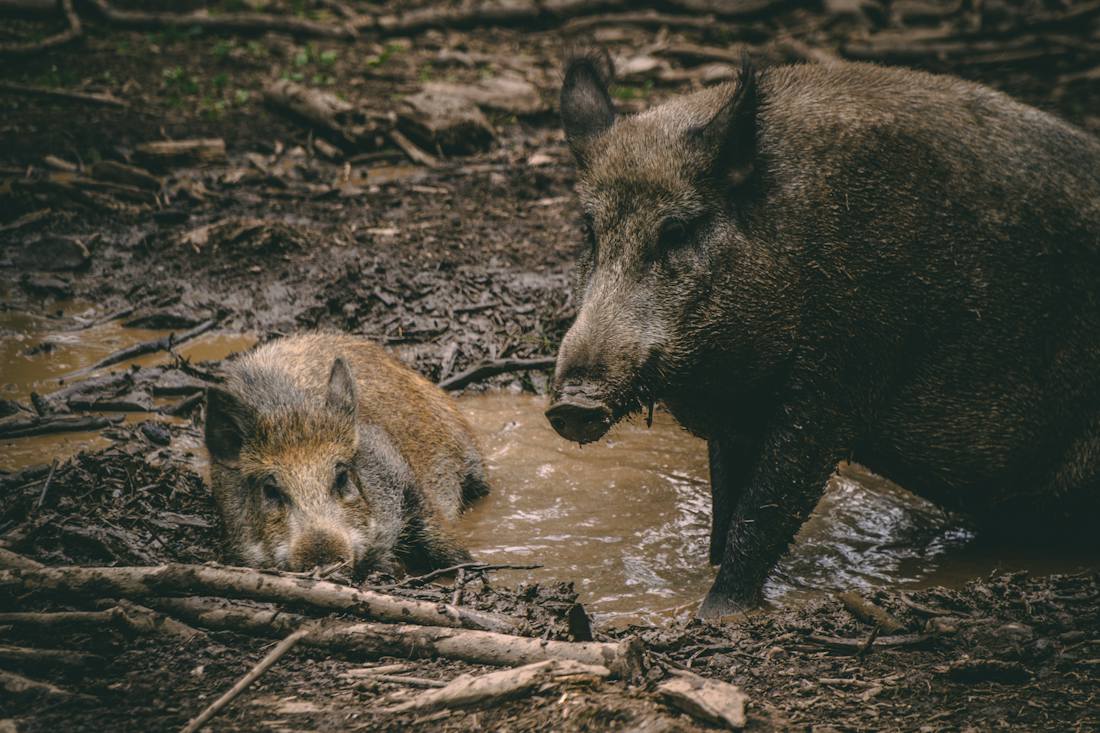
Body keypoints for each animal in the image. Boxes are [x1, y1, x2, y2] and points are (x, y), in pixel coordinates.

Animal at [204, 332, 489, 575]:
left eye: (341, 477)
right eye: (270, 490)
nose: (324, 559)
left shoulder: (407, 481)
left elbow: (442, 538)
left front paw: (473, 565)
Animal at [546, 56, 1100, 617]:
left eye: (676, 231)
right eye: (591, 231)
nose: (571, 404)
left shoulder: (844, 372)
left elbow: (767, 506)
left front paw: (714, 613)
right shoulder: (739, 412)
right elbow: (727, 504)